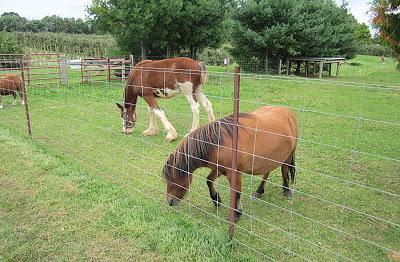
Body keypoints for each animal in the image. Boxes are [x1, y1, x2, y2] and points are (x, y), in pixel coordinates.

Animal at [162, 105, 296, 222]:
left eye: (173, 180)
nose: (170, 202)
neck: (217, 144)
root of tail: (288, 111)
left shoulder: (234, 174)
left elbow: (236, 193)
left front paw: (236, 214)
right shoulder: (220, 169)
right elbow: (209, 180)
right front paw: (216, 199)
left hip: (288, 155)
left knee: (284, 170)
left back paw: (286, 190)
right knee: (267, 172)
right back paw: (259, 191)